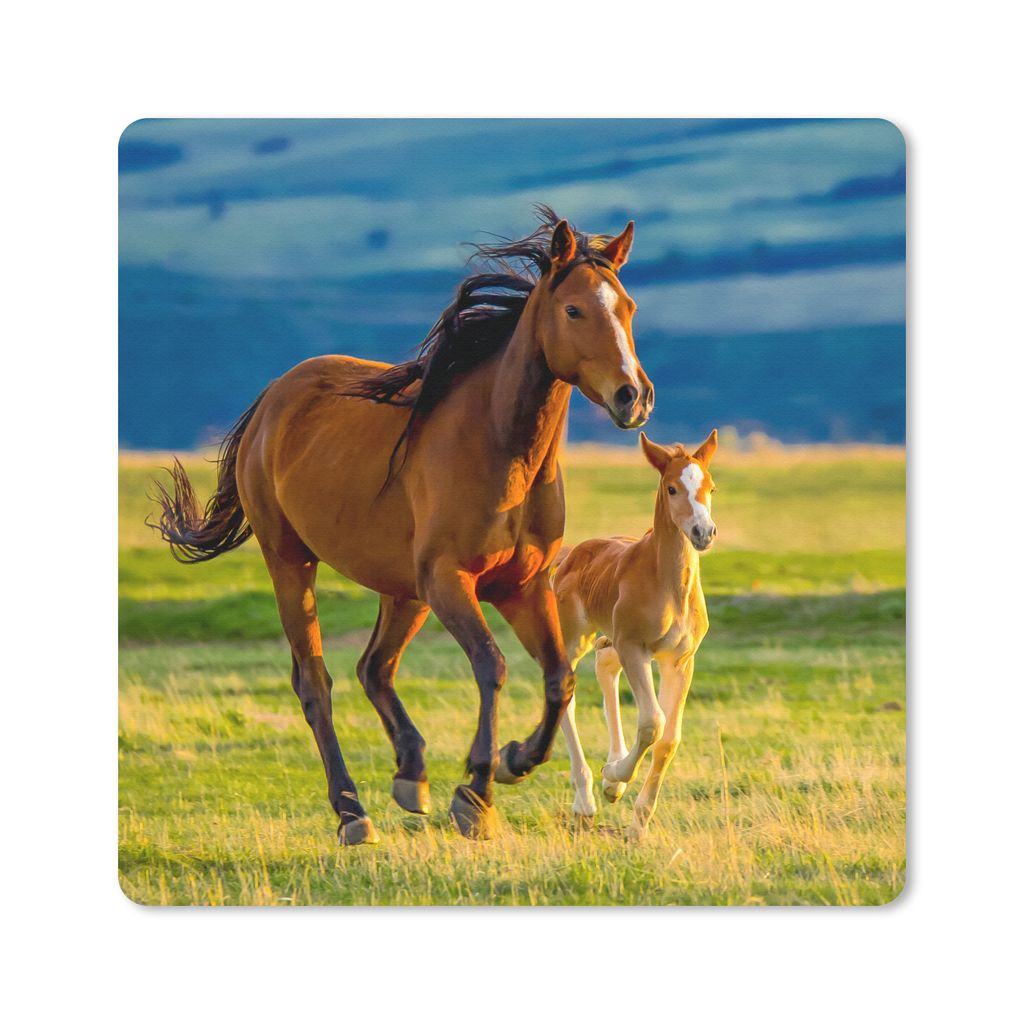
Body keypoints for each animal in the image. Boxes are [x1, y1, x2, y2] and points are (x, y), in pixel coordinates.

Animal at [150, 207, 654, 844]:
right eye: (573, 310)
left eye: (628, 307)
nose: (634, 397)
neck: (501, 449)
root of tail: (273, 399)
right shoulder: (450, 581)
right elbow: (491, 667)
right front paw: (476, 793)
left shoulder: (521, 587)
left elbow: (558, 678)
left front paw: (513, 760)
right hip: (293, 562)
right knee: (315, 683)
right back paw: (351, 811)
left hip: (402, 591)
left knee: (375, 668)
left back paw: (411, 775)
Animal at [551, 429, 718, 840]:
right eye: (672, 488)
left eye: (711, 487)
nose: (703, 533)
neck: (669, 584)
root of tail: (571, 554)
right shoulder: (635, 648)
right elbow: (652, 722)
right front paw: (614, 776)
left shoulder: (680, 660)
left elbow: (669, 738)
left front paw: (637, 823)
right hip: (575, 637)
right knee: (566, 691)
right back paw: (586, 800)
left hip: (611, 640)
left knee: (605, 667)